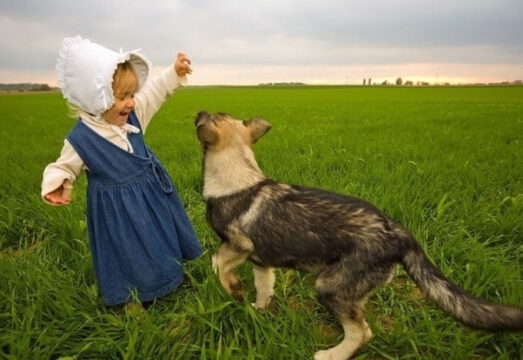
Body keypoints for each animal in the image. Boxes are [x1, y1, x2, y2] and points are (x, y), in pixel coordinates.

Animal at [194, 111, 520, 358]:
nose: (198, 111)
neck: (237, 175)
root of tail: (399, 233)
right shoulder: (262, 262)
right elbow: (264, 289)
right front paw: (256, 309)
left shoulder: (238, 244)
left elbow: (217, 264)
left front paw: (233, 289)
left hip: (330, 287)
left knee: (361, 332)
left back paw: (331, 355)